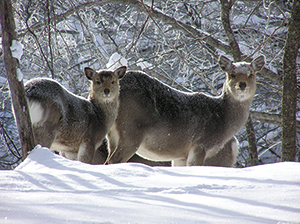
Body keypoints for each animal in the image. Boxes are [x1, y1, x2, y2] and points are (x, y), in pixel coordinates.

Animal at [104, 55, 264, 165]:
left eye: (251, 74)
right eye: (232, 74)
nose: (242, 85)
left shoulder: (180, 156)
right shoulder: (200, 145)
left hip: (112, 135)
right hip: (131, 130)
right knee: (113, 160)